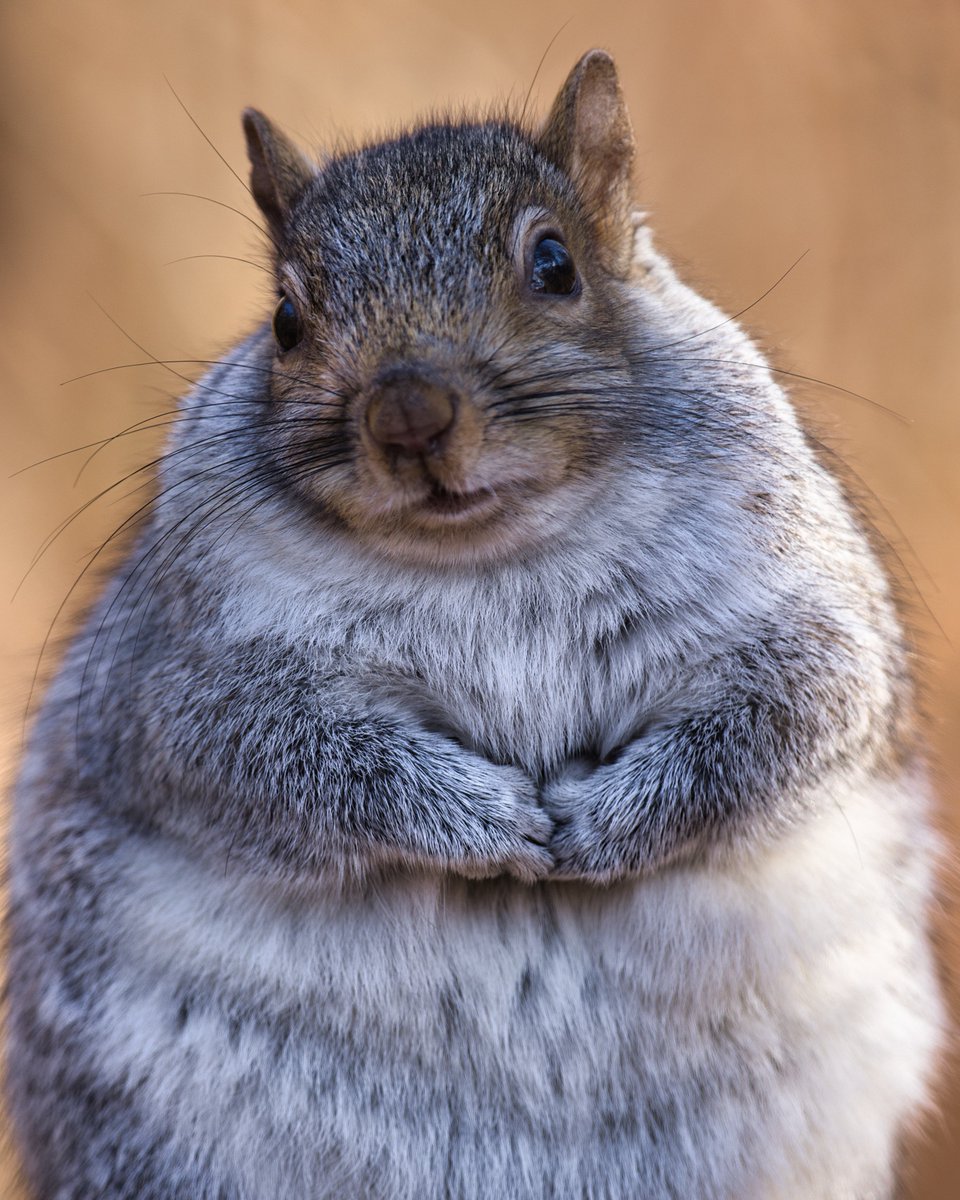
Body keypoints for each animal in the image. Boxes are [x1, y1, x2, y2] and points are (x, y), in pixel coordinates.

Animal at [1, 49, 945, 1200]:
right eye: (285, 319)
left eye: (555, 265)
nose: (408, 415)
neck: (488, 555)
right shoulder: (178, 677)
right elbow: (267, 759)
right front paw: (484, 820)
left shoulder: (803, 611)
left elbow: (790, 718)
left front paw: (602, 823)